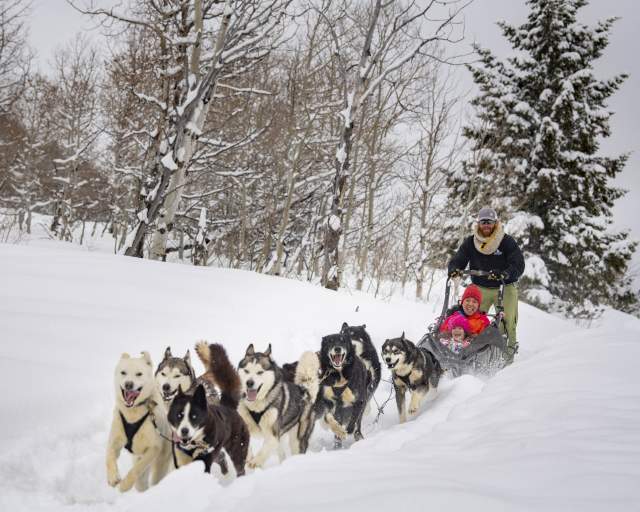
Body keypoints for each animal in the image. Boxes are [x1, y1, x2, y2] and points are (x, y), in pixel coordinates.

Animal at [107, 352, 172, 492]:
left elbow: (136, 469)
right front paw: (113, 477)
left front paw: (125, 485)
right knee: (141, 484)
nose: (128, 384)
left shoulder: (153, 448)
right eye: (123, 372)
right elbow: (109, 455)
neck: (133, 414)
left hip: (160, 463)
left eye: (139, 374)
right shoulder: (115, 440)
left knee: (154, 478)